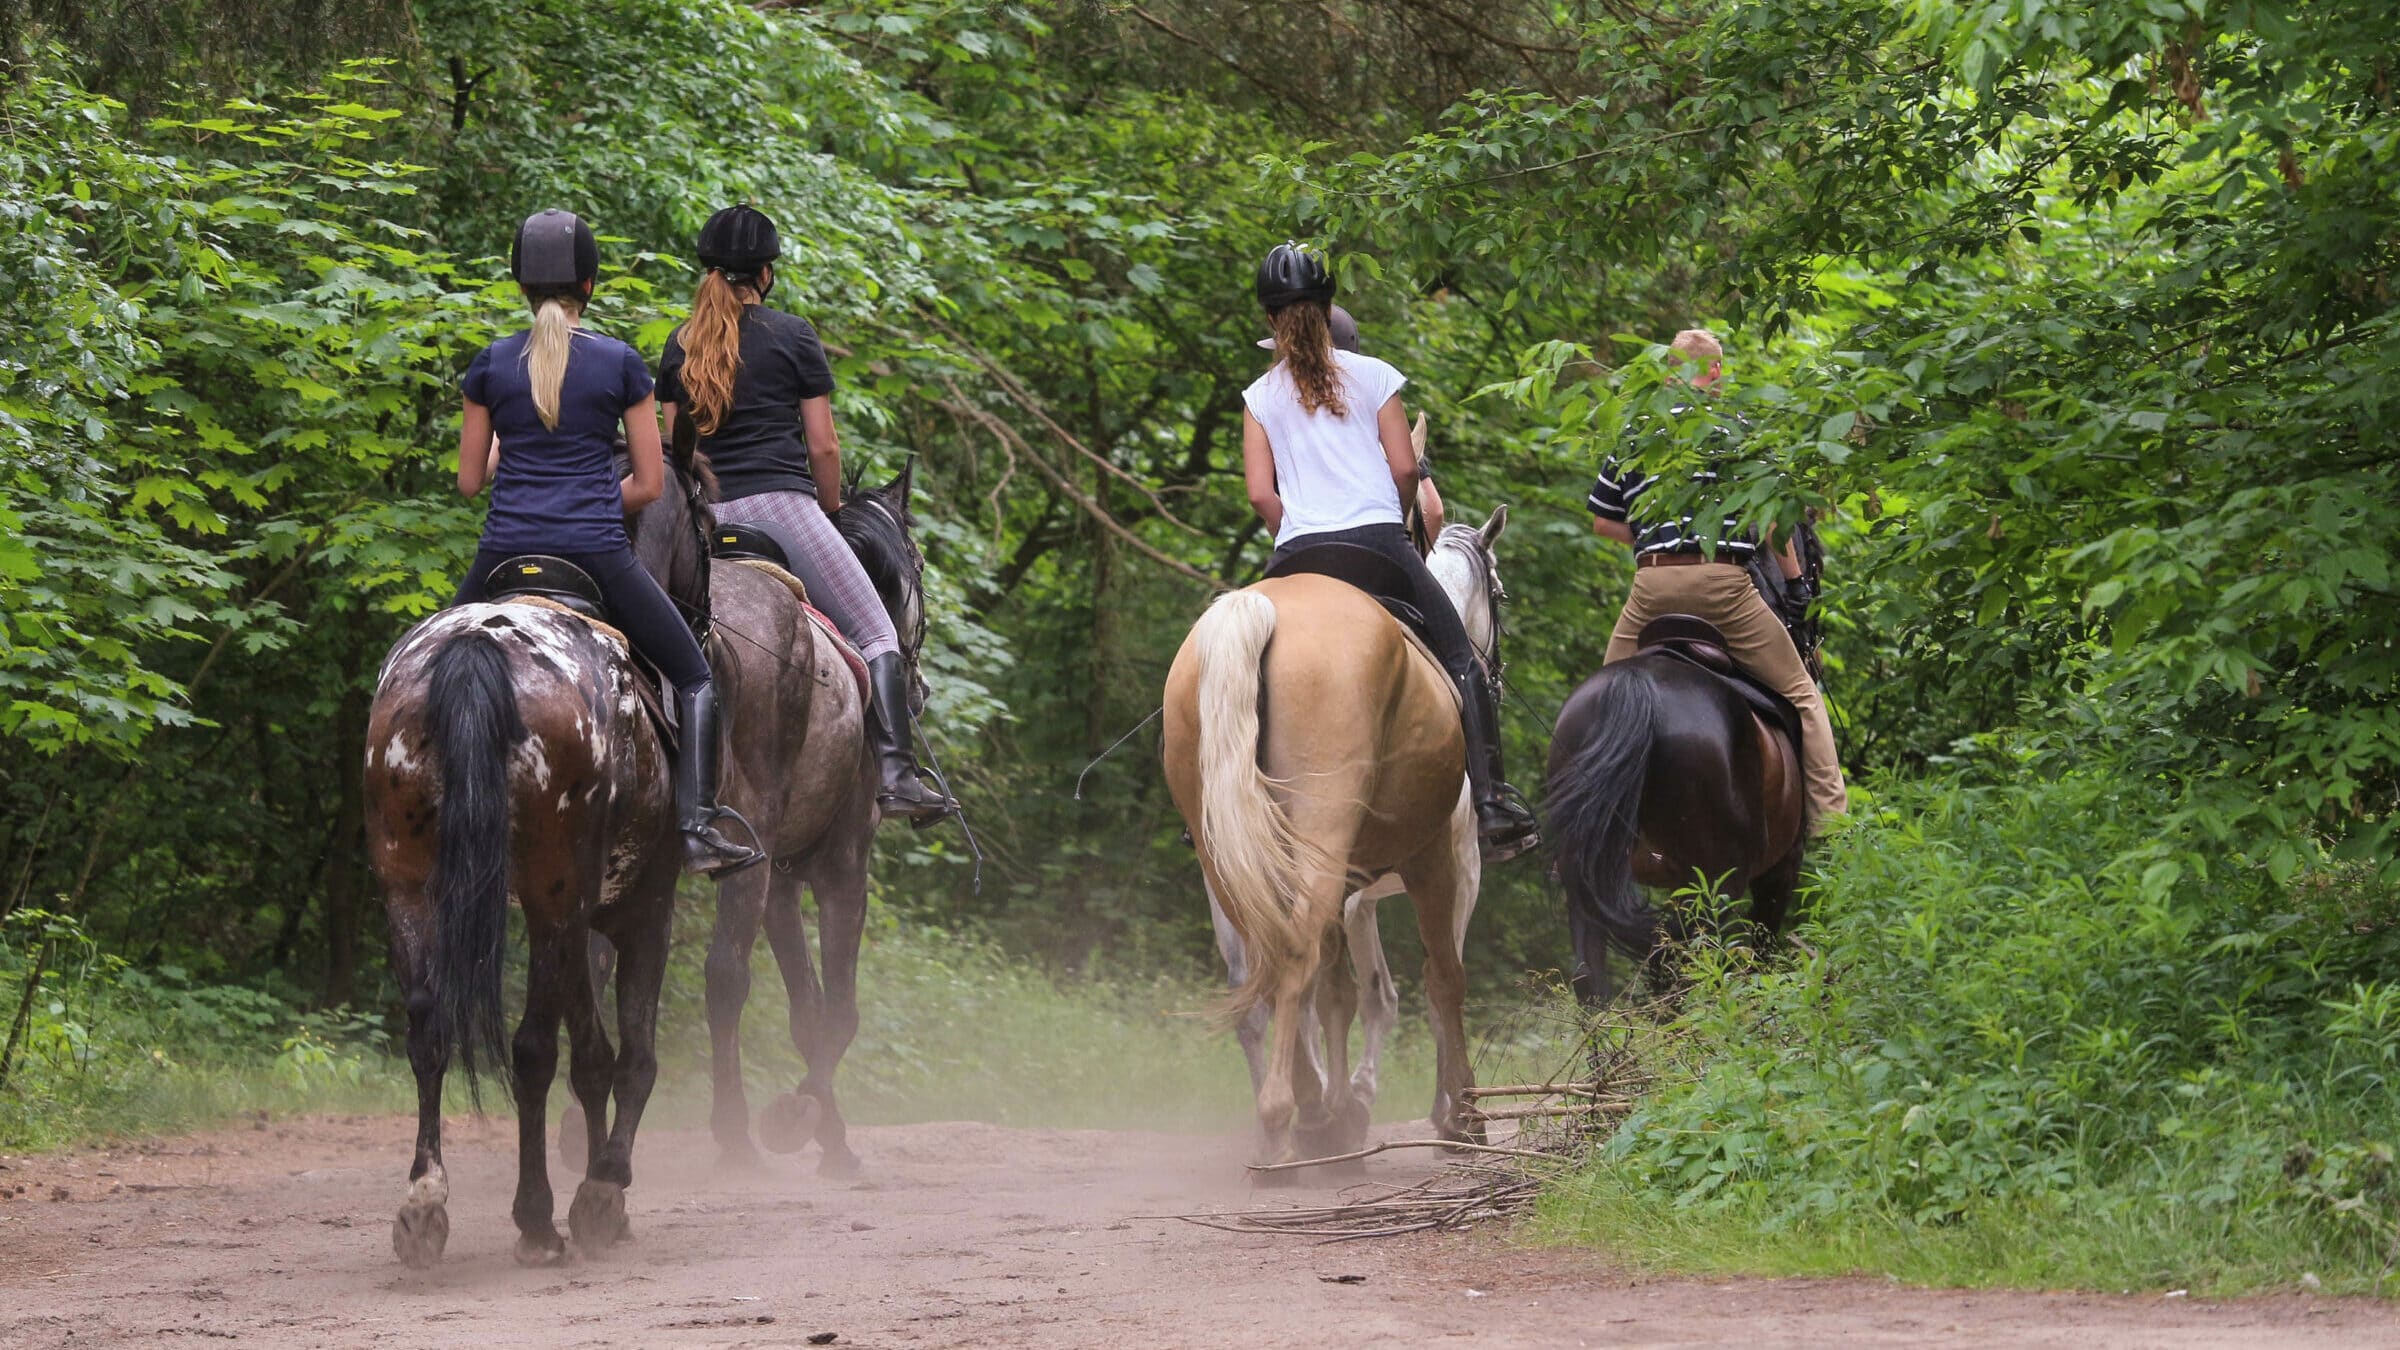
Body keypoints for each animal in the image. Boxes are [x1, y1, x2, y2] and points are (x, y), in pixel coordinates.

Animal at [1161, 530, 1478, 1162]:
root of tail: (1257, 610)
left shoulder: (1354, 890)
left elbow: (1340, 993)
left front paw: (1345, 1108)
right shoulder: (1445, 861)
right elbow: (1441, 980)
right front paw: (1458, 1117)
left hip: (1231, 859)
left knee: (1272, 969)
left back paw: (1302, 1118)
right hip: (1326, 837)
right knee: (1301, 960)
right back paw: (1291, 1120)